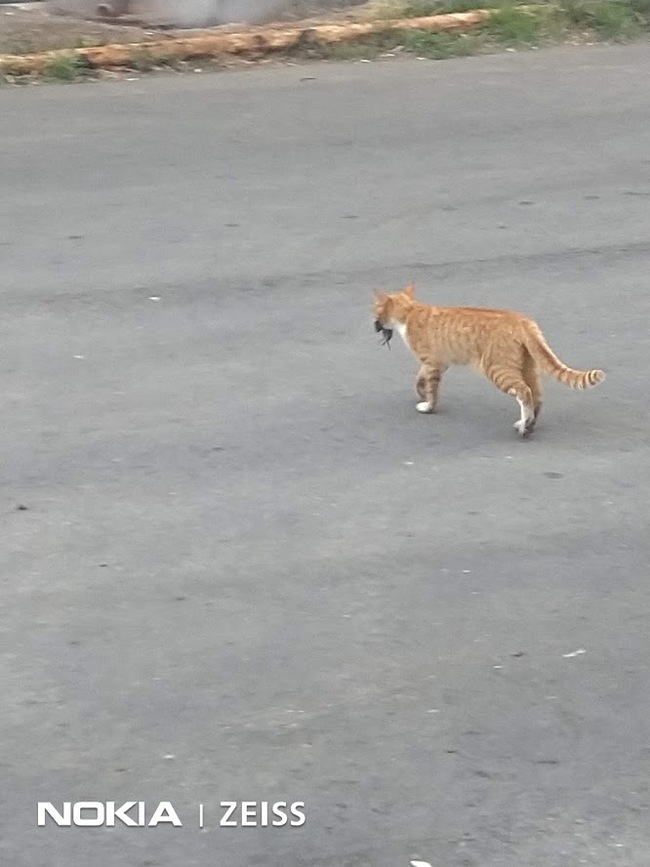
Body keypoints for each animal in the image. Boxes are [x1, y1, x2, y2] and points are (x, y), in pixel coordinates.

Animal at [372, 284, 604, 434]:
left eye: (375, 309)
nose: (374, 324)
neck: (411, 311)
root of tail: (521, 319)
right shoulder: (438, 363)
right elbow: (420, 379)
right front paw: (421, 392)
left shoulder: (432, 362)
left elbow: (432, 388)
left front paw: (428, 406)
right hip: (528, 367)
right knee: (537, 395)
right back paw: (528, 424)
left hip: (497, 369)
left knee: (524, 392)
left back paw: (524, 426)